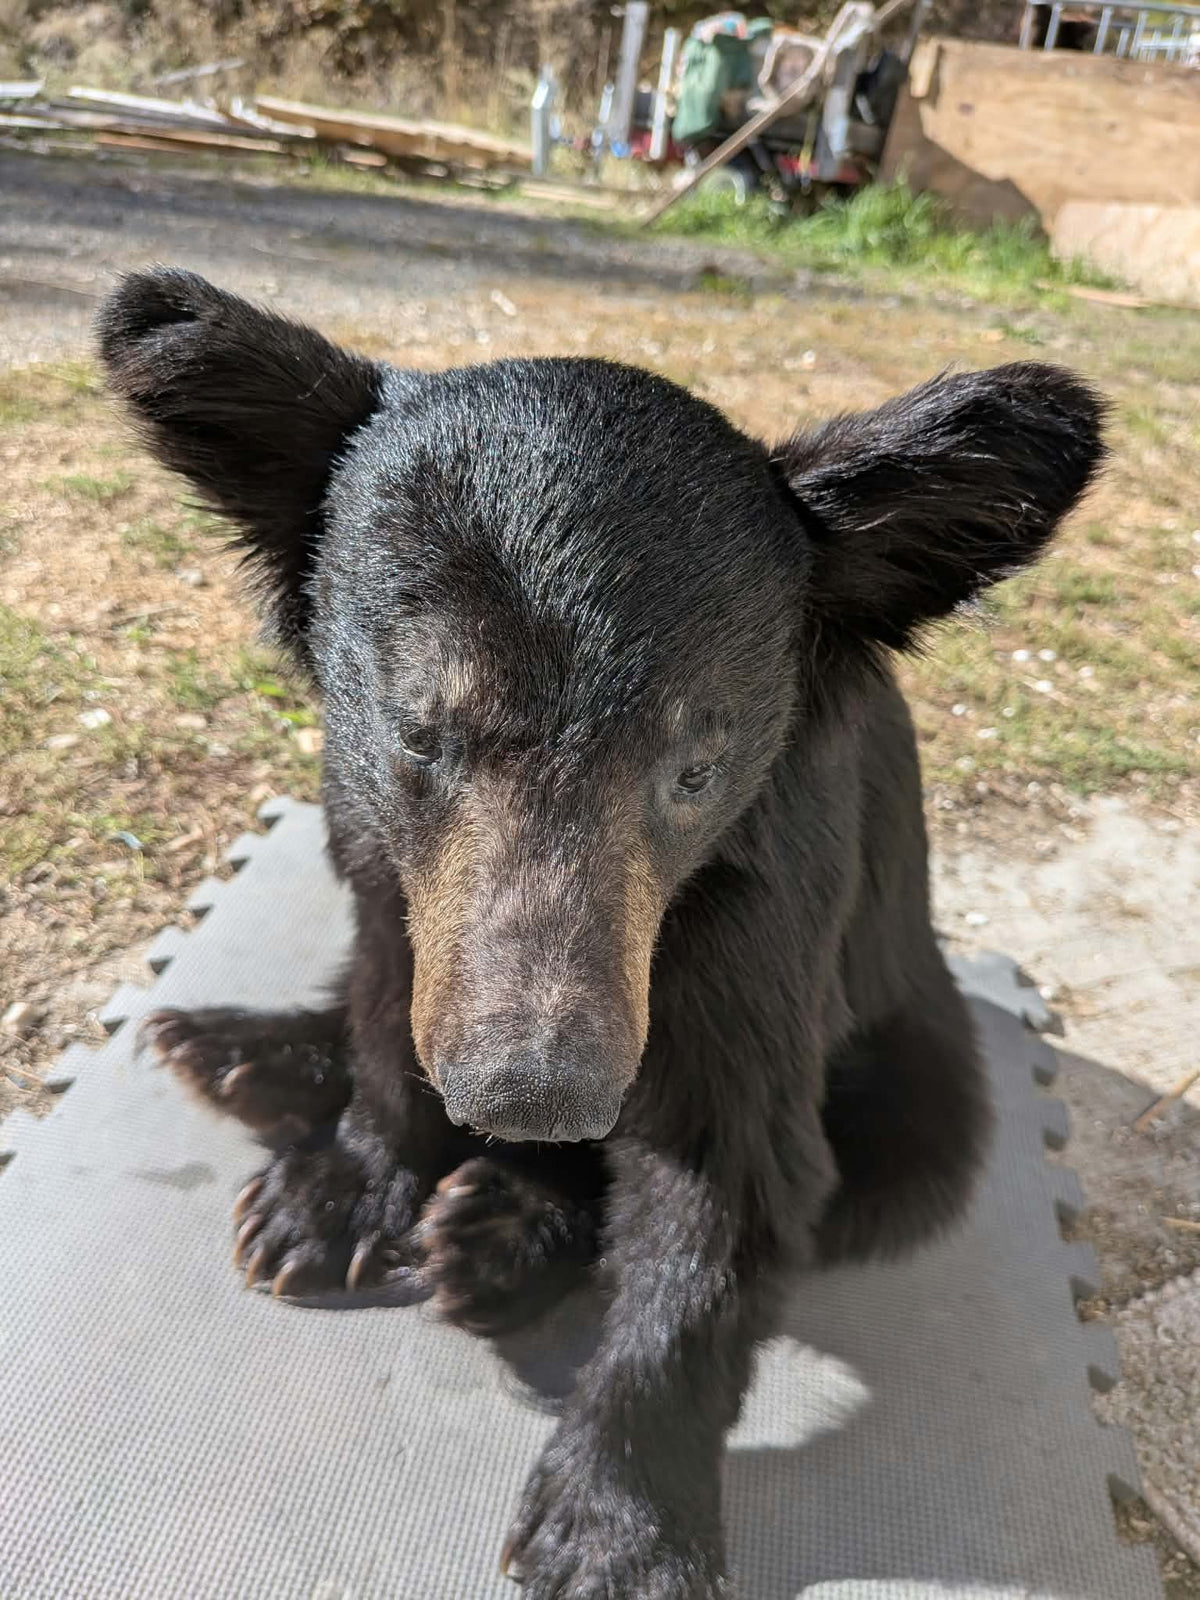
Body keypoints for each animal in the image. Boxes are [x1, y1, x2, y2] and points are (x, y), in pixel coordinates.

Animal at [98, 267, 1105, 1600]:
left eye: (694, 770)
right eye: (420, 736)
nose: (532, 1099)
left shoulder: (762, 923)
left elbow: (727, 1193)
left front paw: (619, 1520)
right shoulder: (383, 856)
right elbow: (387, 995)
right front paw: (341, 1187)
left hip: (920, 1079)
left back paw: (499, 1231)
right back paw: (245, 1050)